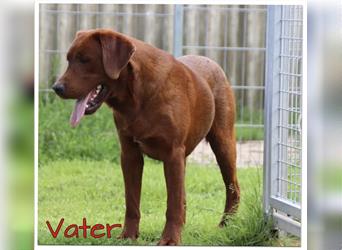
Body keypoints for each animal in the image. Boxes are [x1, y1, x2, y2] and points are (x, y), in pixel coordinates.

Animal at [53, 28, 240, 244]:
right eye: (68, 59)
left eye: (85, 59)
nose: (56, 88)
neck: (136, 97)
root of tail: (212, 62)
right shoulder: (130, 154)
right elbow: (132, 201)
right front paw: (128, 235)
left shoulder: (173, 154)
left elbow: (172, 203)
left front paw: (170, 239)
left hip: (223, 143)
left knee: (232, 187)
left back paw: (227, 224)